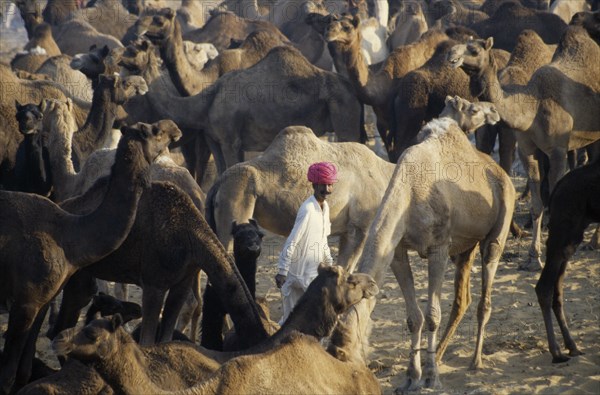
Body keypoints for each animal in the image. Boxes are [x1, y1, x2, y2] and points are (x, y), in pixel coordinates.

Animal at [0, 121, 177, 395]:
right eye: (153, 131)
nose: (175, 130)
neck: (70, 237)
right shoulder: (25, 301)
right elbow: (7, 375)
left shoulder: (42, 300)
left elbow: (24, 369)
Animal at [356, 100, 516, 392]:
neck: (408, 188)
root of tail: (502, 173)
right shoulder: (397, 250)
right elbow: (413, 317)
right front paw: (411, 377)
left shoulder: (438, 247)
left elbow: (432, 315)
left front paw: (431, 376)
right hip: (465, 247)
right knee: (462, 297)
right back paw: (441, 354)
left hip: (499, 223)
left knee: (486, 288)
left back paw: (475, 361)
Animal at [448, 25, 600, 272]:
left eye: (474, 49)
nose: (451, 55)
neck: (533, 109)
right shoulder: (528, 149)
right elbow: (536, 205)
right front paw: (532, 258)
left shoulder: (558, 149)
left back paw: (594, 241)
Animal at [536, 159, 600, 364]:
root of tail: (556, 189)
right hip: (565, 227)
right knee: (544, 287)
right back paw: (557, 352)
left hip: (572, 237)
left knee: (557, 290)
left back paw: (572, 346)